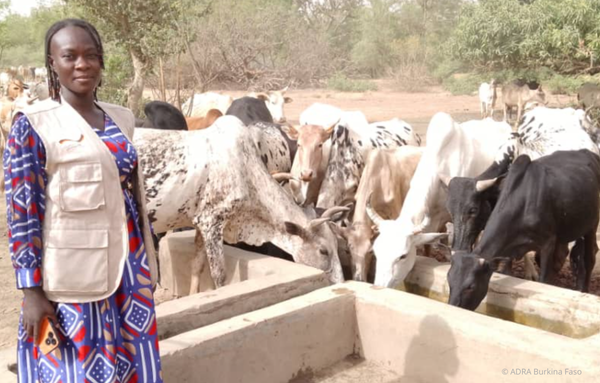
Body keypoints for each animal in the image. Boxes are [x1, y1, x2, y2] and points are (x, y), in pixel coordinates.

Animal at [448, 150, 600, 312]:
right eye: (449, 280)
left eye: (471, 286)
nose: (453, 306)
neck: (522, 203)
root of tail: (588, 153)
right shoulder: (508, 250)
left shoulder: (548, 242)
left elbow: (544, 279)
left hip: (592, 225)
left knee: (588, 258)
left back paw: (583, 289)